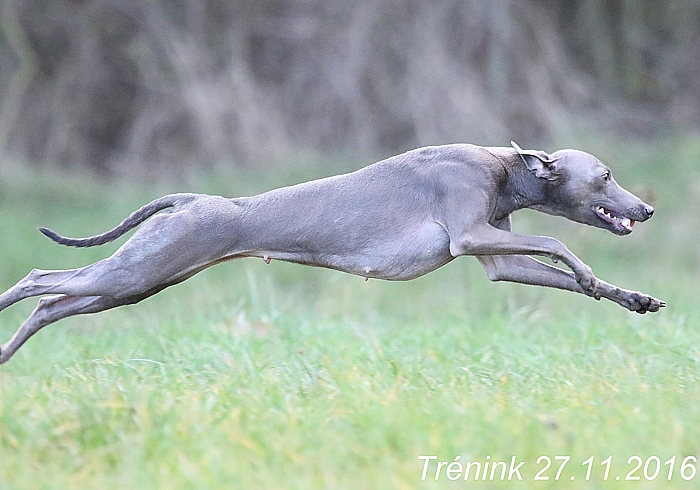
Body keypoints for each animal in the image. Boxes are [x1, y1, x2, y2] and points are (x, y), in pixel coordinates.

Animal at [0, 142, 664, 364]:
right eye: (606, 176)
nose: (646, 209)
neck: (505, 167)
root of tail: (191, 199)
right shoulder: (471, 232)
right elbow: (556, 240)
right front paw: (594, 276)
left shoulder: (497, 253)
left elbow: (558, 267)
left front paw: (627, 296)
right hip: (137, 270)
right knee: (38, 277)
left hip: (134, 283)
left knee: (51, 305)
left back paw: (6, 355)